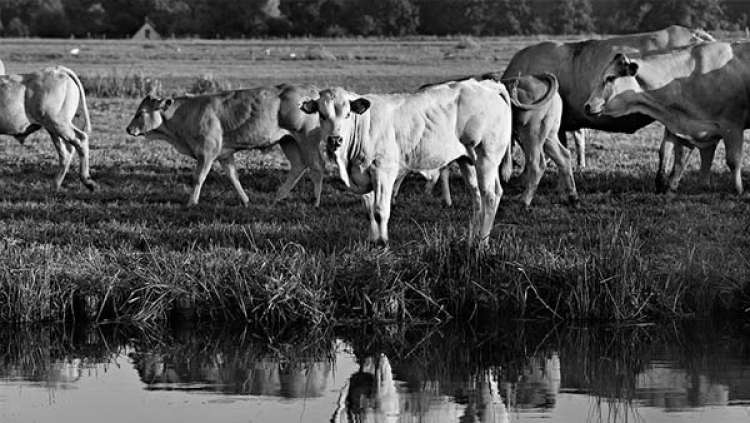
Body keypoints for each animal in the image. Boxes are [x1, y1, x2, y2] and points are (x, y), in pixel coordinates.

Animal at [125, 84, 324, 207]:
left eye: (140, 113)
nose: (128, 129)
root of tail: (311, 90)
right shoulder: (224, 154)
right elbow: (234, 177)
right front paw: (246, 200)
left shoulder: (207, 152)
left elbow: (198, 177)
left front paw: (191, 202)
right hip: (288, 140)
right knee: (298, 165)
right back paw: (278, 196)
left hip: (307, 139)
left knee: (317, 166)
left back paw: (315, 201)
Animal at [302, 78, 516, 248]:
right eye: (322, 115)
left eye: (347, 114)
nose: (335, 139)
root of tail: (486, 85)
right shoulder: (362, 173)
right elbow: (369, 210)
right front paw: (373, 241)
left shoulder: (383, 171)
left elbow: (380, 210)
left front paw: (383, 243)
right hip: (468, 161)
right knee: (479, 197)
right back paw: (474, 237)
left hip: (487, 158)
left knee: (490, 196)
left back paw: (483, 242)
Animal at [584, 42, 748, 195]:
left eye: (610, 78)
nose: (587, 106)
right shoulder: (692, 129)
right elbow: (677, 158)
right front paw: (671, 187)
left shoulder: (731, 126)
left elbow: (733, 160)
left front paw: (738, 190)